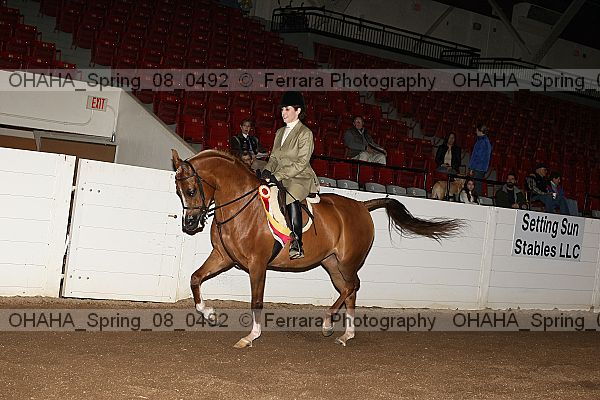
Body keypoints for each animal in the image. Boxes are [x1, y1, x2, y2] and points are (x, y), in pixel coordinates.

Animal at [171, 149, 464, 348]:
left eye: (191, 190)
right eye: (178, 191)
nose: (189, 223)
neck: (244, 207)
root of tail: (362, 206)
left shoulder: (257, 265)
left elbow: (256, 301)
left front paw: (250, 336)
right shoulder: (223, 257)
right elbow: (195, 278)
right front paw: (209, 313)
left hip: (346, 262)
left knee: (351, 287)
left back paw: (328, 323)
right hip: (332, 264)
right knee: (350, 290)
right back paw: (346, 334)